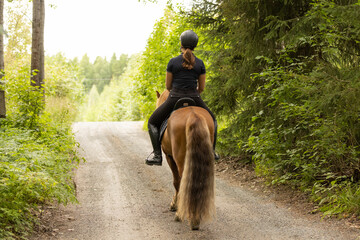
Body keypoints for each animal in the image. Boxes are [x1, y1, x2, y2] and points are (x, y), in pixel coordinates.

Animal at [155, 90, 217, 231]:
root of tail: (194, 116)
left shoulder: (169, 157)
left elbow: (176, 182)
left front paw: (174, 205)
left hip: (180, 159)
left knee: (184, 181)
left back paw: (185, 216)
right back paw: (195, 217)